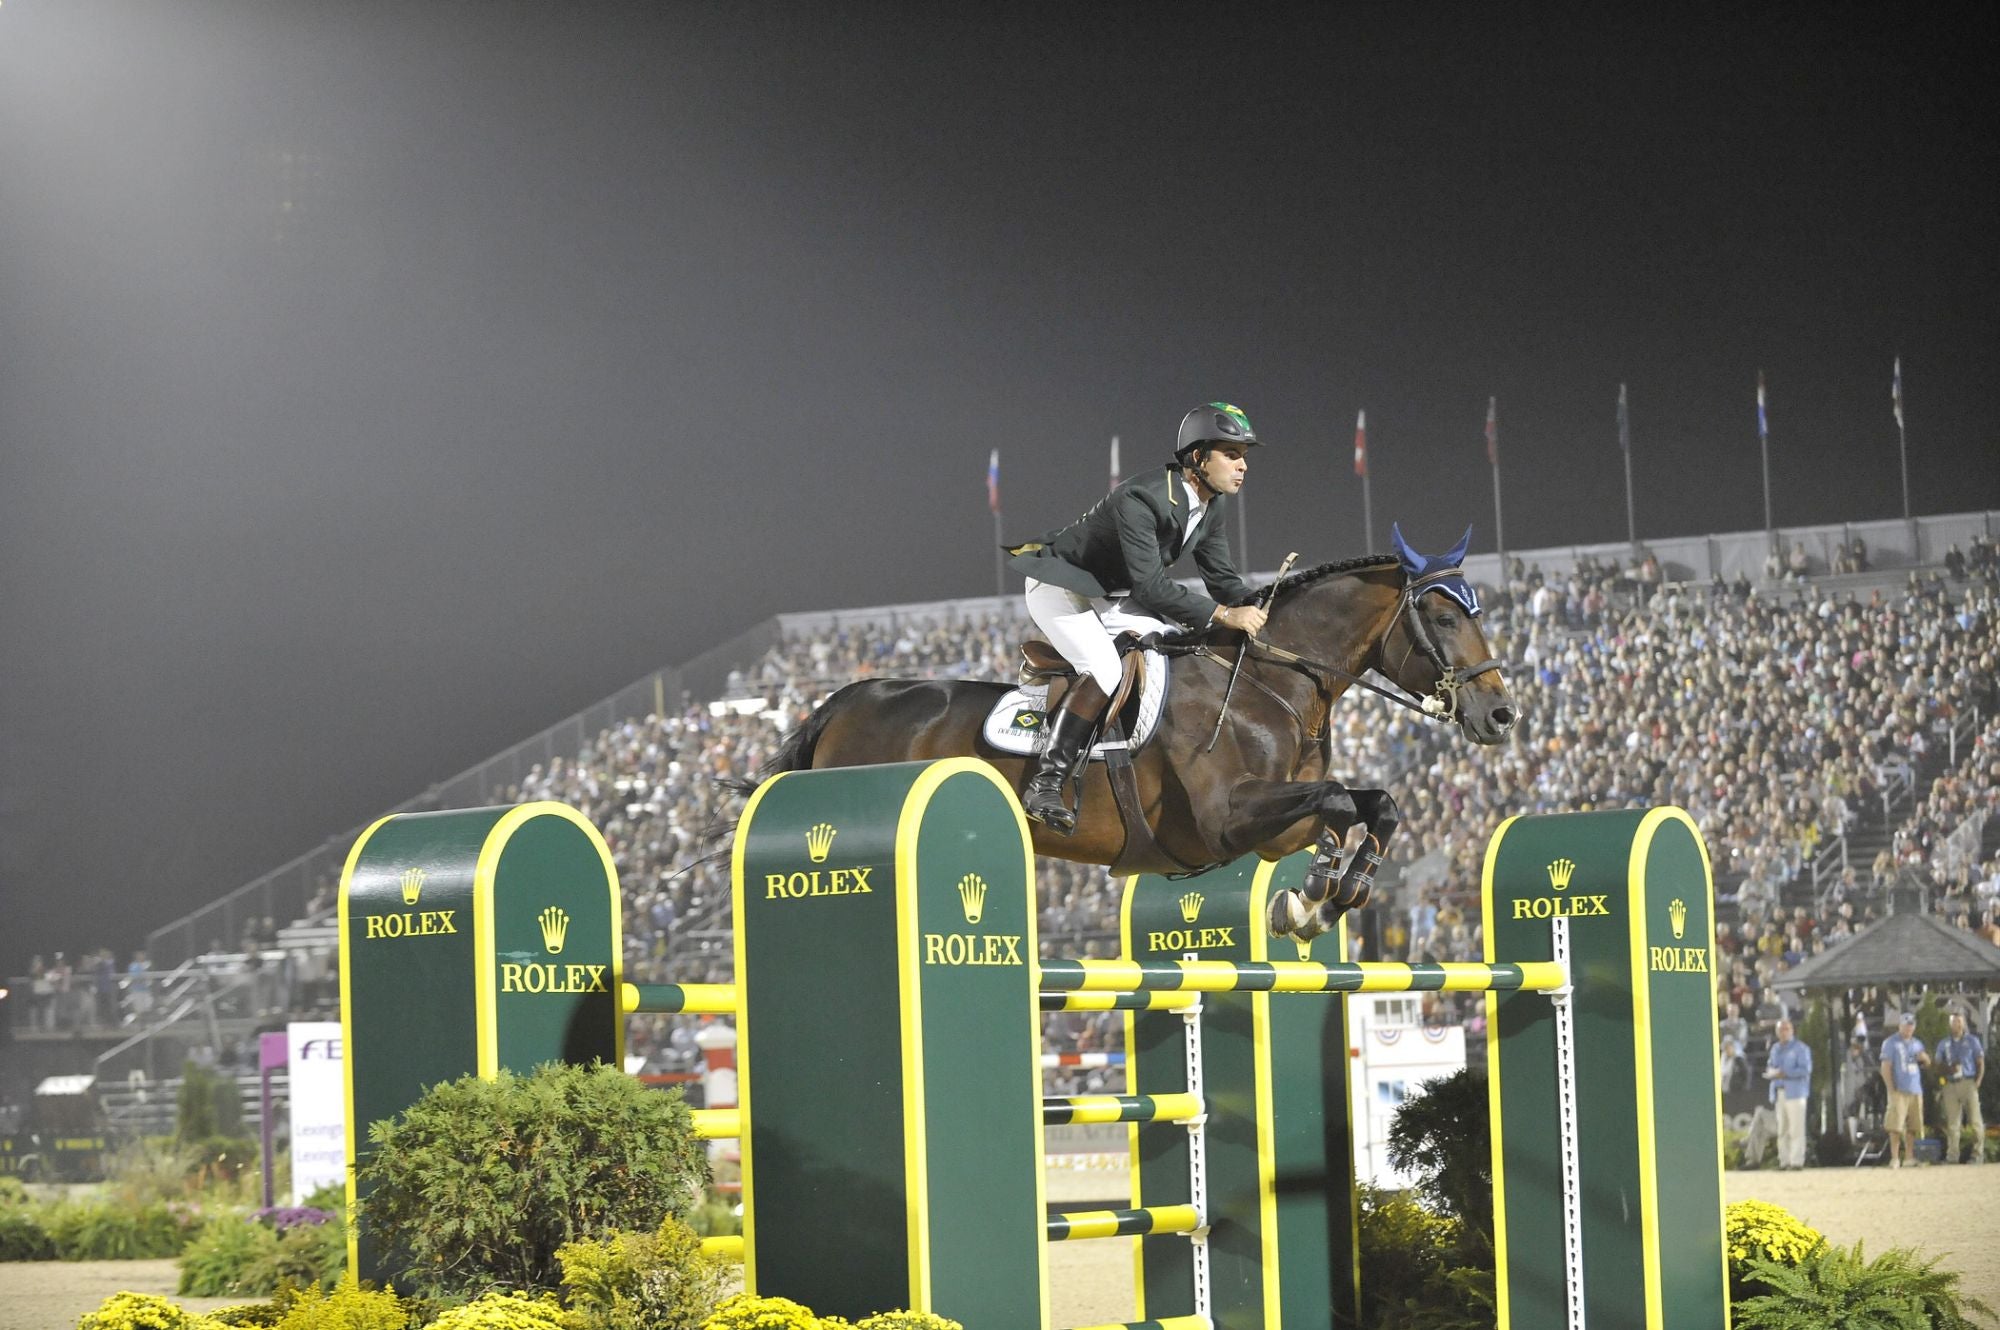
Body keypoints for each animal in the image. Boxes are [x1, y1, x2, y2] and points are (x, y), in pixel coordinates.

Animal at [756, 524, 1504, 940]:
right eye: (1442, 619)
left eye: (1479, 612)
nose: (1501, 715)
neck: (1270, 683)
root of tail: (843, 700)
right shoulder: (1223, 818)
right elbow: (1343, 801)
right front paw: (1316, 894)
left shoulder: (1269, 830)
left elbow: (1377, 803)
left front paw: (1332, 896)